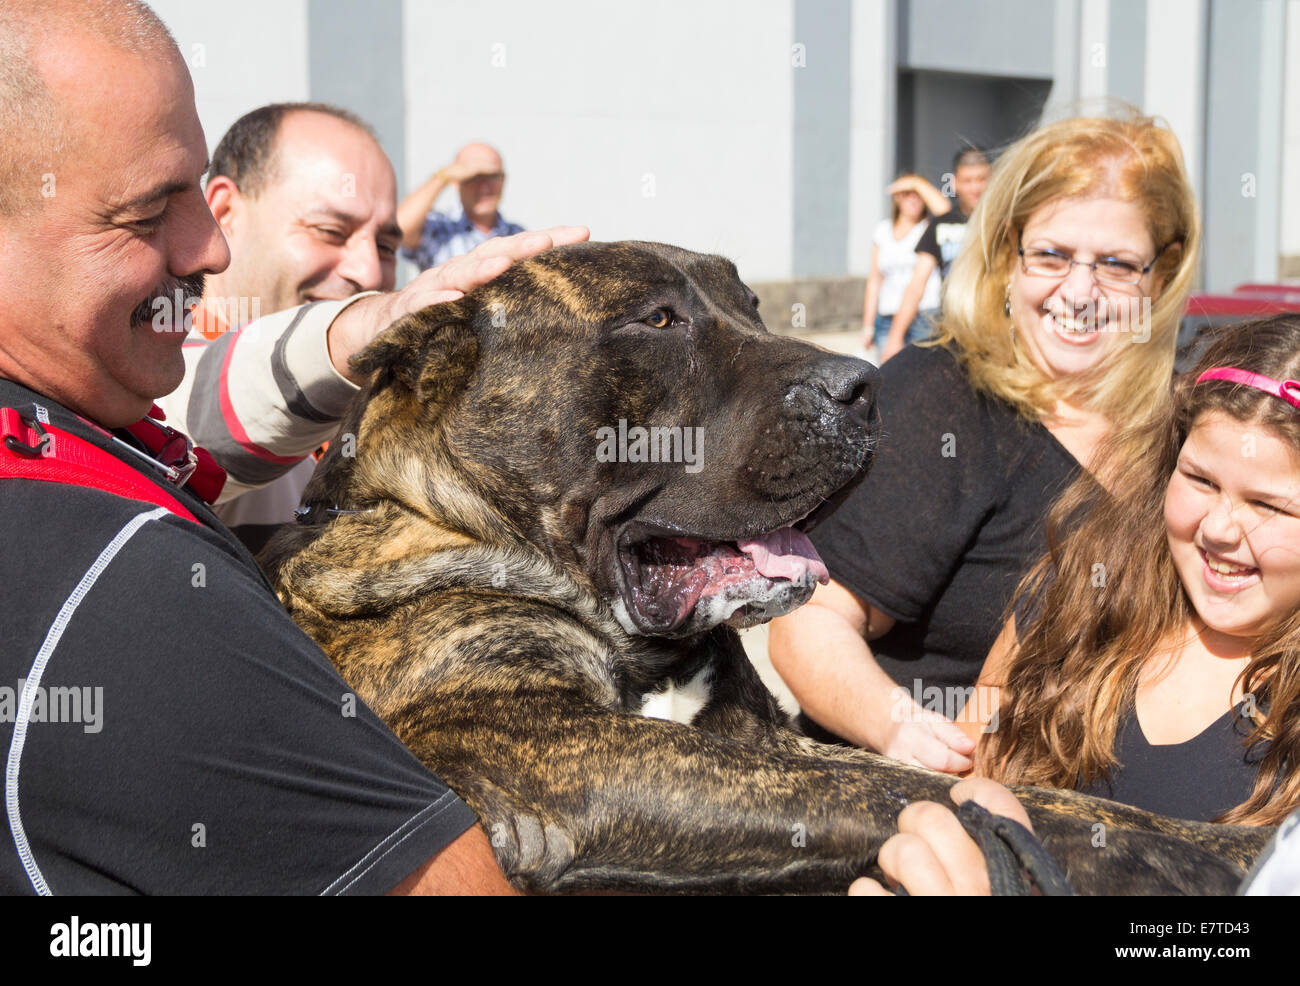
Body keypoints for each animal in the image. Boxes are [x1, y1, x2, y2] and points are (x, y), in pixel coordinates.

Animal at [261, 241, 1268, 894]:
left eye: (749, 307)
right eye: (658, 320)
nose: (861, 386)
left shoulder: (757, 742)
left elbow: (919, 781)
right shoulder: (551, 748)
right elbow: (904, 785)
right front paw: (1198, 853)